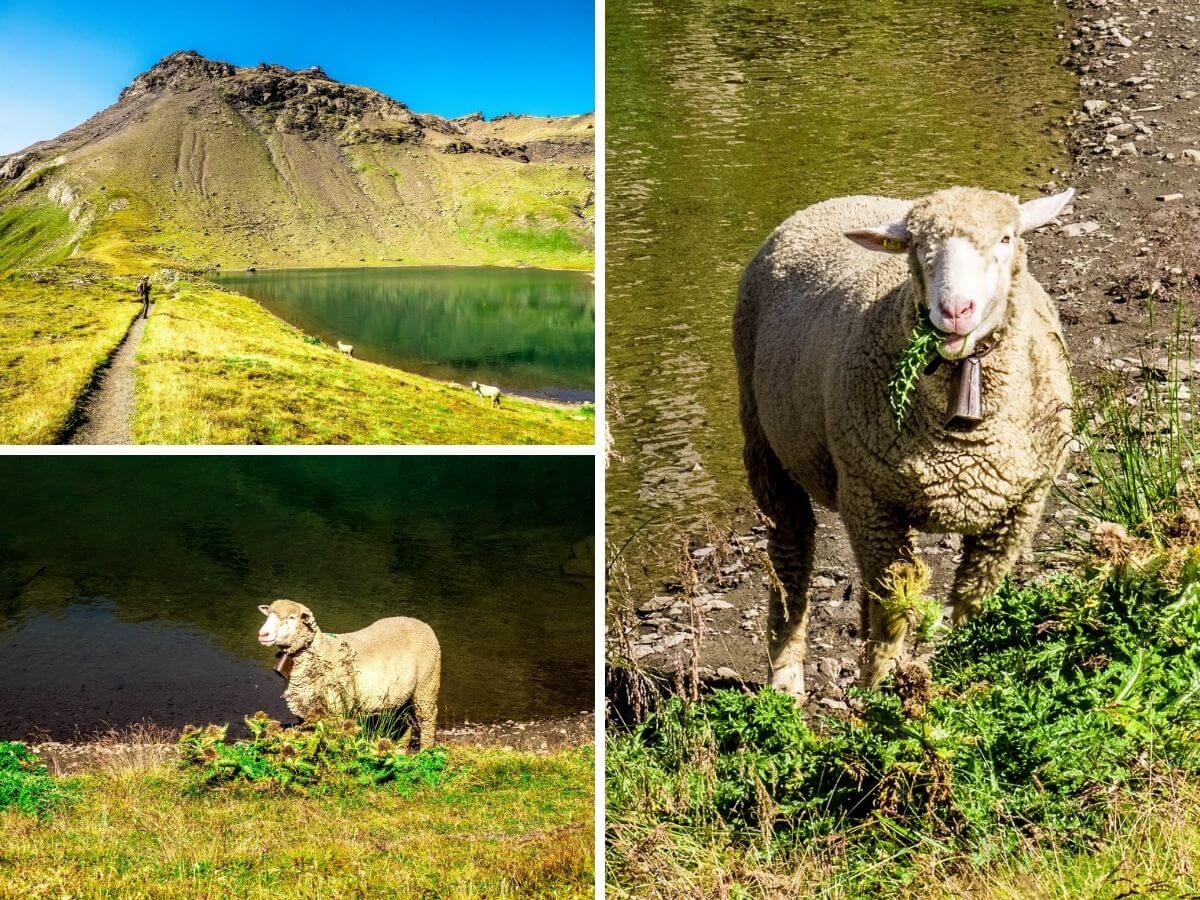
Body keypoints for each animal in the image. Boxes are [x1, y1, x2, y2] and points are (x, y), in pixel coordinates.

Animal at [256, 599, 441, 749]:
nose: (262, 634)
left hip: (427, 684)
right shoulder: (306, 710)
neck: (324, 651)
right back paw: (400, 747)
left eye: (291, 618)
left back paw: (425, 750)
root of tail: (422, 623)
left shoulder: (337, 709)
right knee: (405, 718)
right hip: (403, 694)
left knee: (428, 718)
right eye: (269, 615)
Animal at [733, 186, 1075, 699]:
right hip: (764, 443)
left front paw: (967, 668)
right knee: (790, 551)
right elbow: (893, 611)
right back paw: (785, 679)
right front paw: (880, 689)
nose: (954, 311)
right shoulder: (870, 498)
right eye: (917, 246)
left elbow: (974, 601)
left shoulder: (1021, 506)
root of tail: (838, 198)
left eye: (1007, 238)